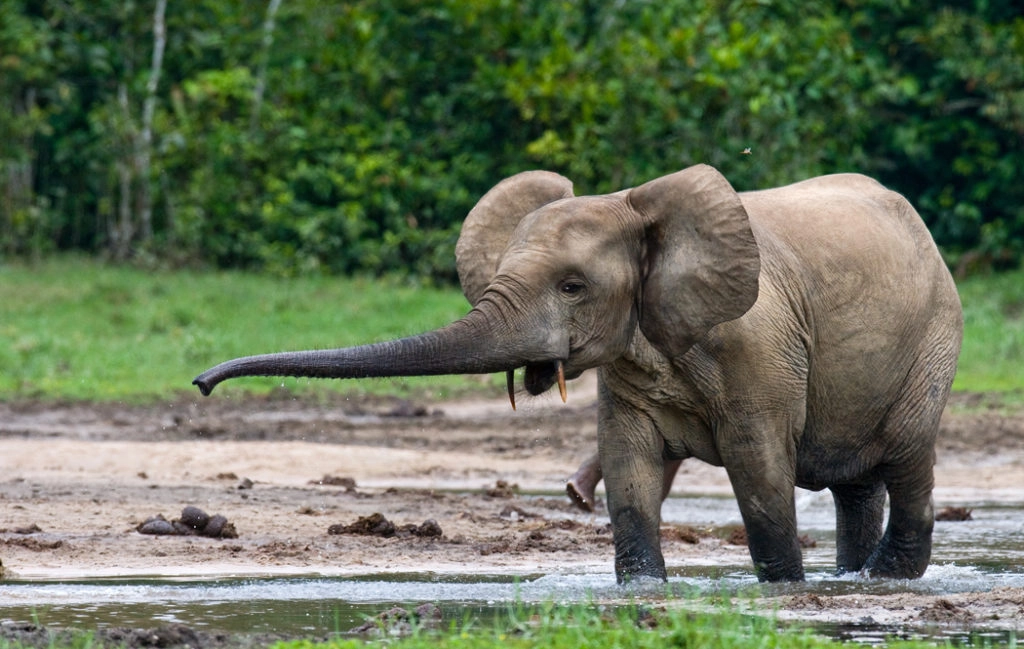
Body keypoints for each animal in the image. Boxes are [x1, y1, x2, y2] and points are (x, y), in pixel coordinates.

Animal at [193, 164, 962, 583]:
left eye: (571, 287)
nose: (201, 384)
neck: (639, 208)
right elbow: (630, 469)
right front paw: (643, 589)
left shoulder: (758, 350)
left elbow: (760, 474)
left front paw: (781, 591)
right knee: (856, 482)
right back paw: (853, 576)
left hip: (934, 337)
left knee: (906, 459)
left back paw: (887, 577)